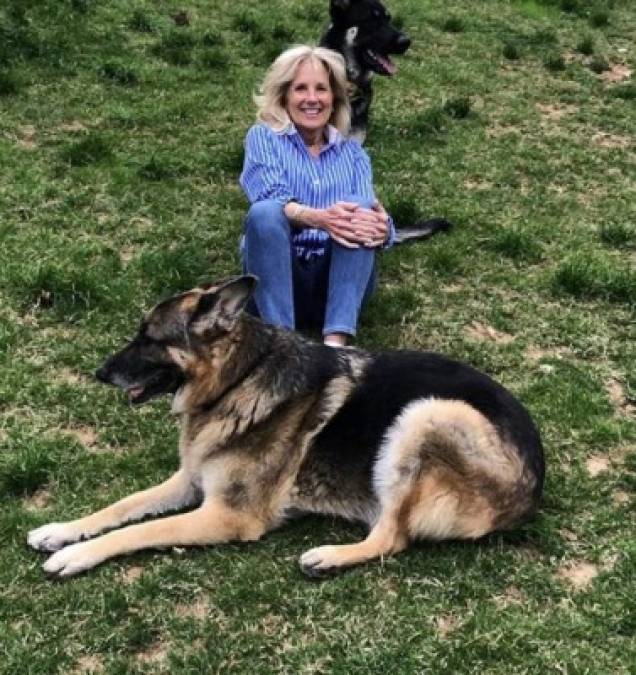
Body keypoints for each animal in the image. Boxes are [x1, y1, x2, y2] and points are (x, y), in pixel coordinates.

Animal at [29, 278, 544, 580]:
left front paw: (75, 556)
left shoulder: (227, 515)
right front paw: (61, 530)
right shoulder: (189, 480)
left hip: (427, 415)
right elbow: (123, 505)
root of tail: (535, 487)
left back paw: (328, 556)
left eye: (149, 338)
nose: (99, 373)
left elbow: (138, 531)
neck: (239, 379)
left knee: (392, 538)